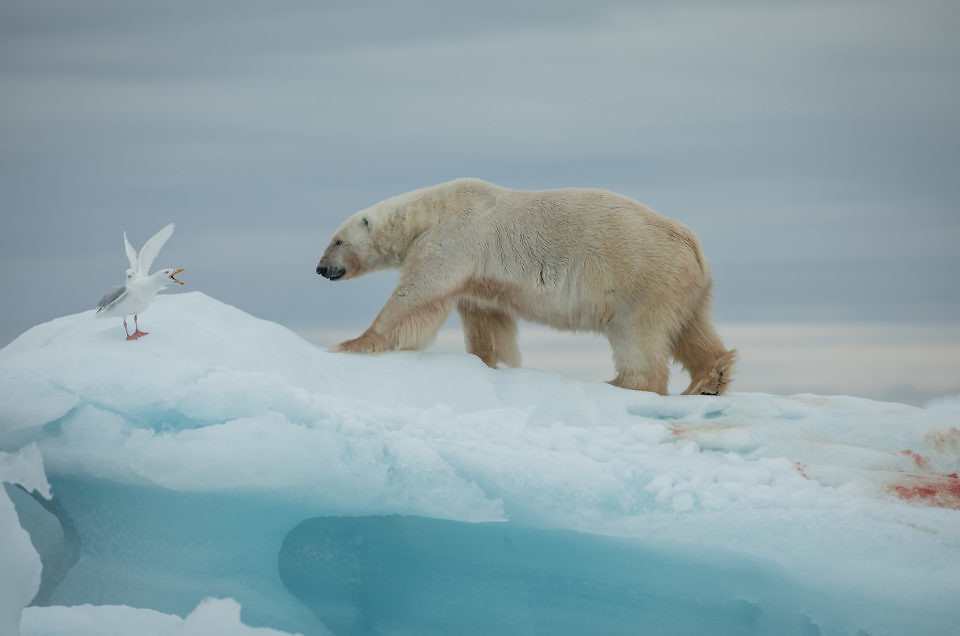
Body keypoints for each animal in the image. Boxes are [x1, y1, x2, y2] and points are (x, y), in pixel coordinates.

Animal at [318, 179, 740, 396]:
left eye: (337, 240)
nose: (321, 268)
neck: (432, 209)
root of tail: (692, 243)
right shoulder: (478, 274)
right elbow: (487, 318)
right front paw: (492, 362)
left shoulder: (455, 237)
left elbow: (417, 295)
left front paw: (351, 344)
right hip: (683, 284)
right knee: (691, 327)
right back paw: (710, 379)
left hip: (641, 275)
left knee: (636, 334)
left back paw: (624, 383)